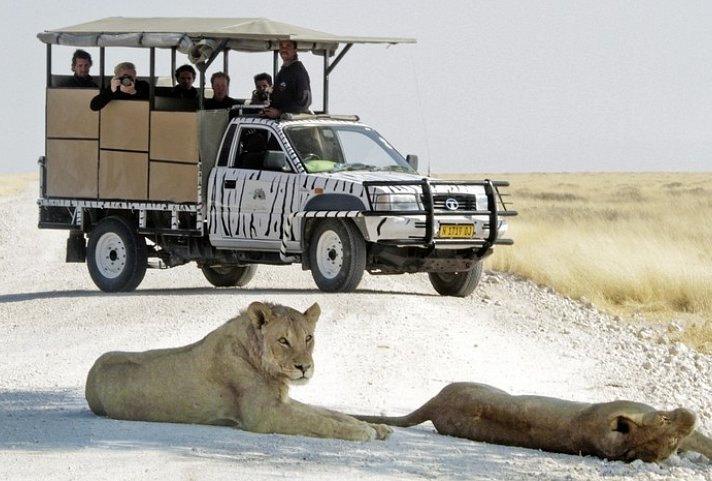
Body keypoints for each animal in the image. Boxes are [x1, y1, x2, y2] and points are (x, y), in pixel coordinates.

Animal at [87, 302, 394, 440]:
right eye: (283, 340)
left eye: (308, 338)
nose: (304, 367)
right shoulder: (264, 416)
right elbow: (318, 422)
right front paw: (362, 432)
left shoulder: (280, 401)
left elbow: (330, 413)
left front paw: (375, 426)